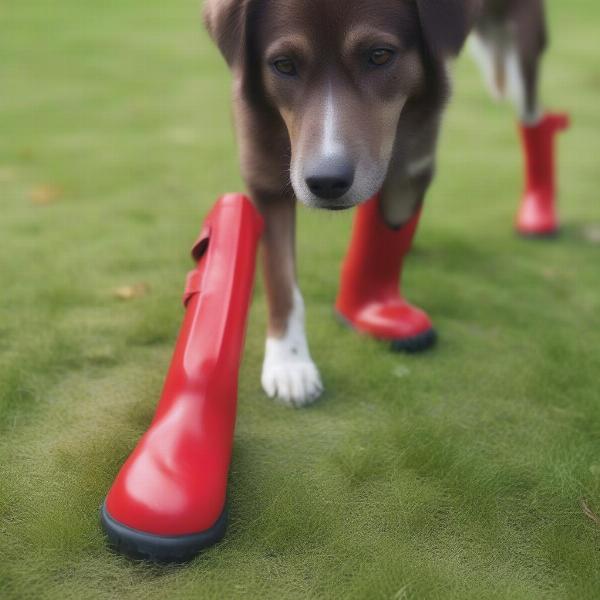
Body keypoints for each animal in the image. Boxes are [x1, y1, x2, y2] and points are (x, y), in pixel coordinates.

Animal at [203, 0, 556, 408]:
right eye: (284, 65)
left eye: (379, 55)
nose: (327, 182)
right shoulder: (263, 175)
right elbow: (280, 278)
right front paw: (289, 363)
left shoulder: (412, 158)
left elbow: (388, 227)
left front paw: (372, 309)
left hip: (524, 47)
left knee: (533, 115)